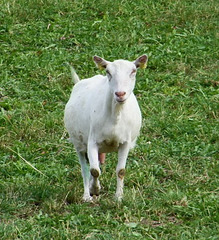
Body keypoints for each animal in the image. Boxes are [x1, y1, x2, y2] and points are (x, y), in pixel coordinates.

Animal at [64, 55, 148, 202]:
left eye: (133, 71)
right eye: (108, 72)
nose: (120, 94)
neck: (115, 116)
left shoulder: (125, 142)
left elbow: (121, 171)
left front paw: (119, 197)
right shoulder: (92, 141)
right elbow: (94, 170)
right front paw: (94, 190)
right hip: (78, 142)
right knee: (85, 168)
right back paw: (87, 195)